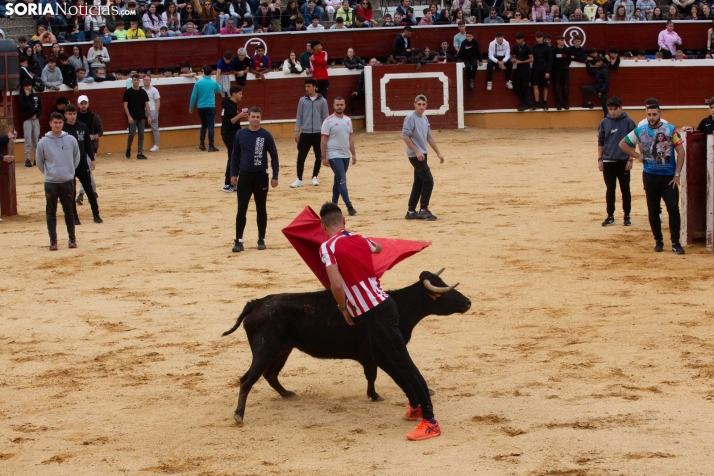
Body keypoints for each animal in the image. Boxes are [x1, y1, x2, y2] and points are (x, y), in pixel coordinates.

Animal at [220, 270, 470, 422]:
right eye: (443, 292)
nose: (468, 302)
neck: (397, 307)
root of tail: (256, 303)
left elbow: (375, 374)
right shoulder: (378, 354)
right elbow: (379, 374)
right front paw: (375, 395)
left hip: (282, 349)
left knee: (270, 375)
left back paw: (287, 394)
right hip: (265, 350)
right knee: (247, 379)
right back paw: (239, 415)